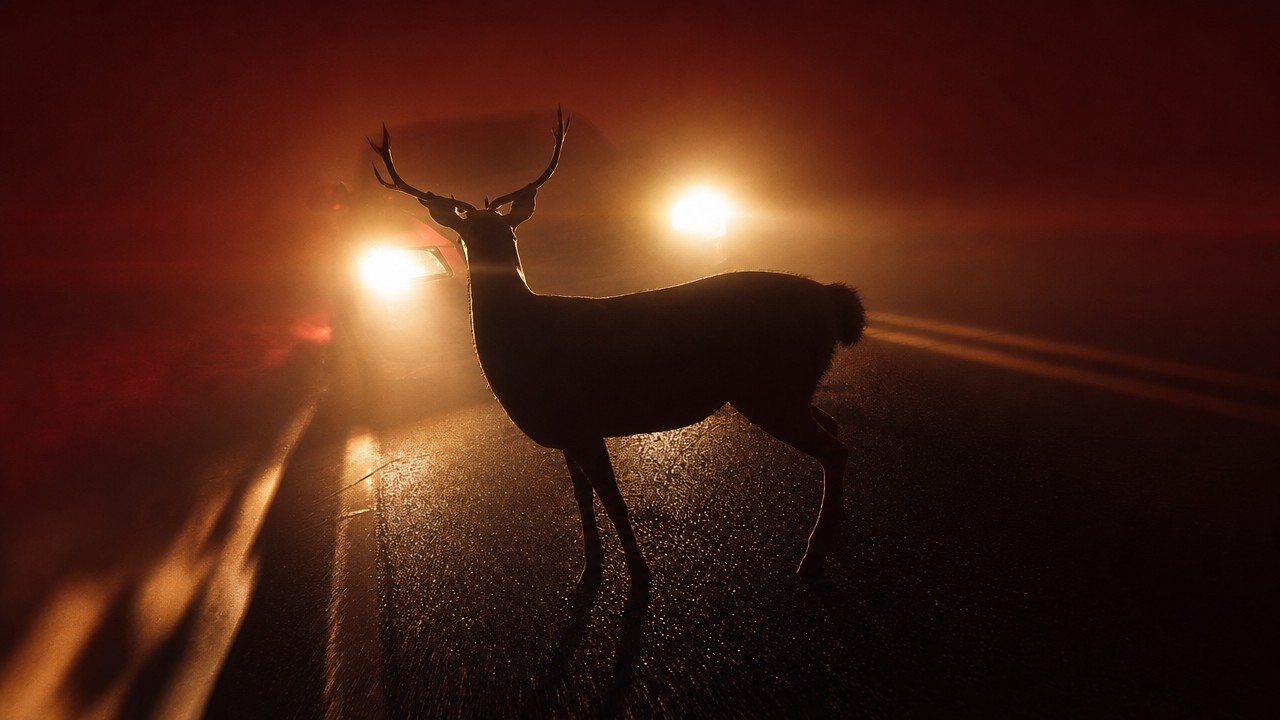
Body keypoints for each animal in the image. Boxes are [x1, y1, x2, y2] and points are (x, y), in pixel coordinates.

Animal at [368, 109, 864, 586]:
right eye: (466, 237)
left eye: (509, 233)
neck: (523, 342)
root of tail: (831, 299)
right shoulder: (566, 432)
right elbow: (582, 502)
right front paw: (589, 570)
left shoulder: (582, 419)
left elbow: (614, 501)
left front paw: (640, 574)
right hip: (787, 385)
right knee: (834, 428)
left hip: (770, 387)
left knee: (834, 448)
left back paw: (811, 556)